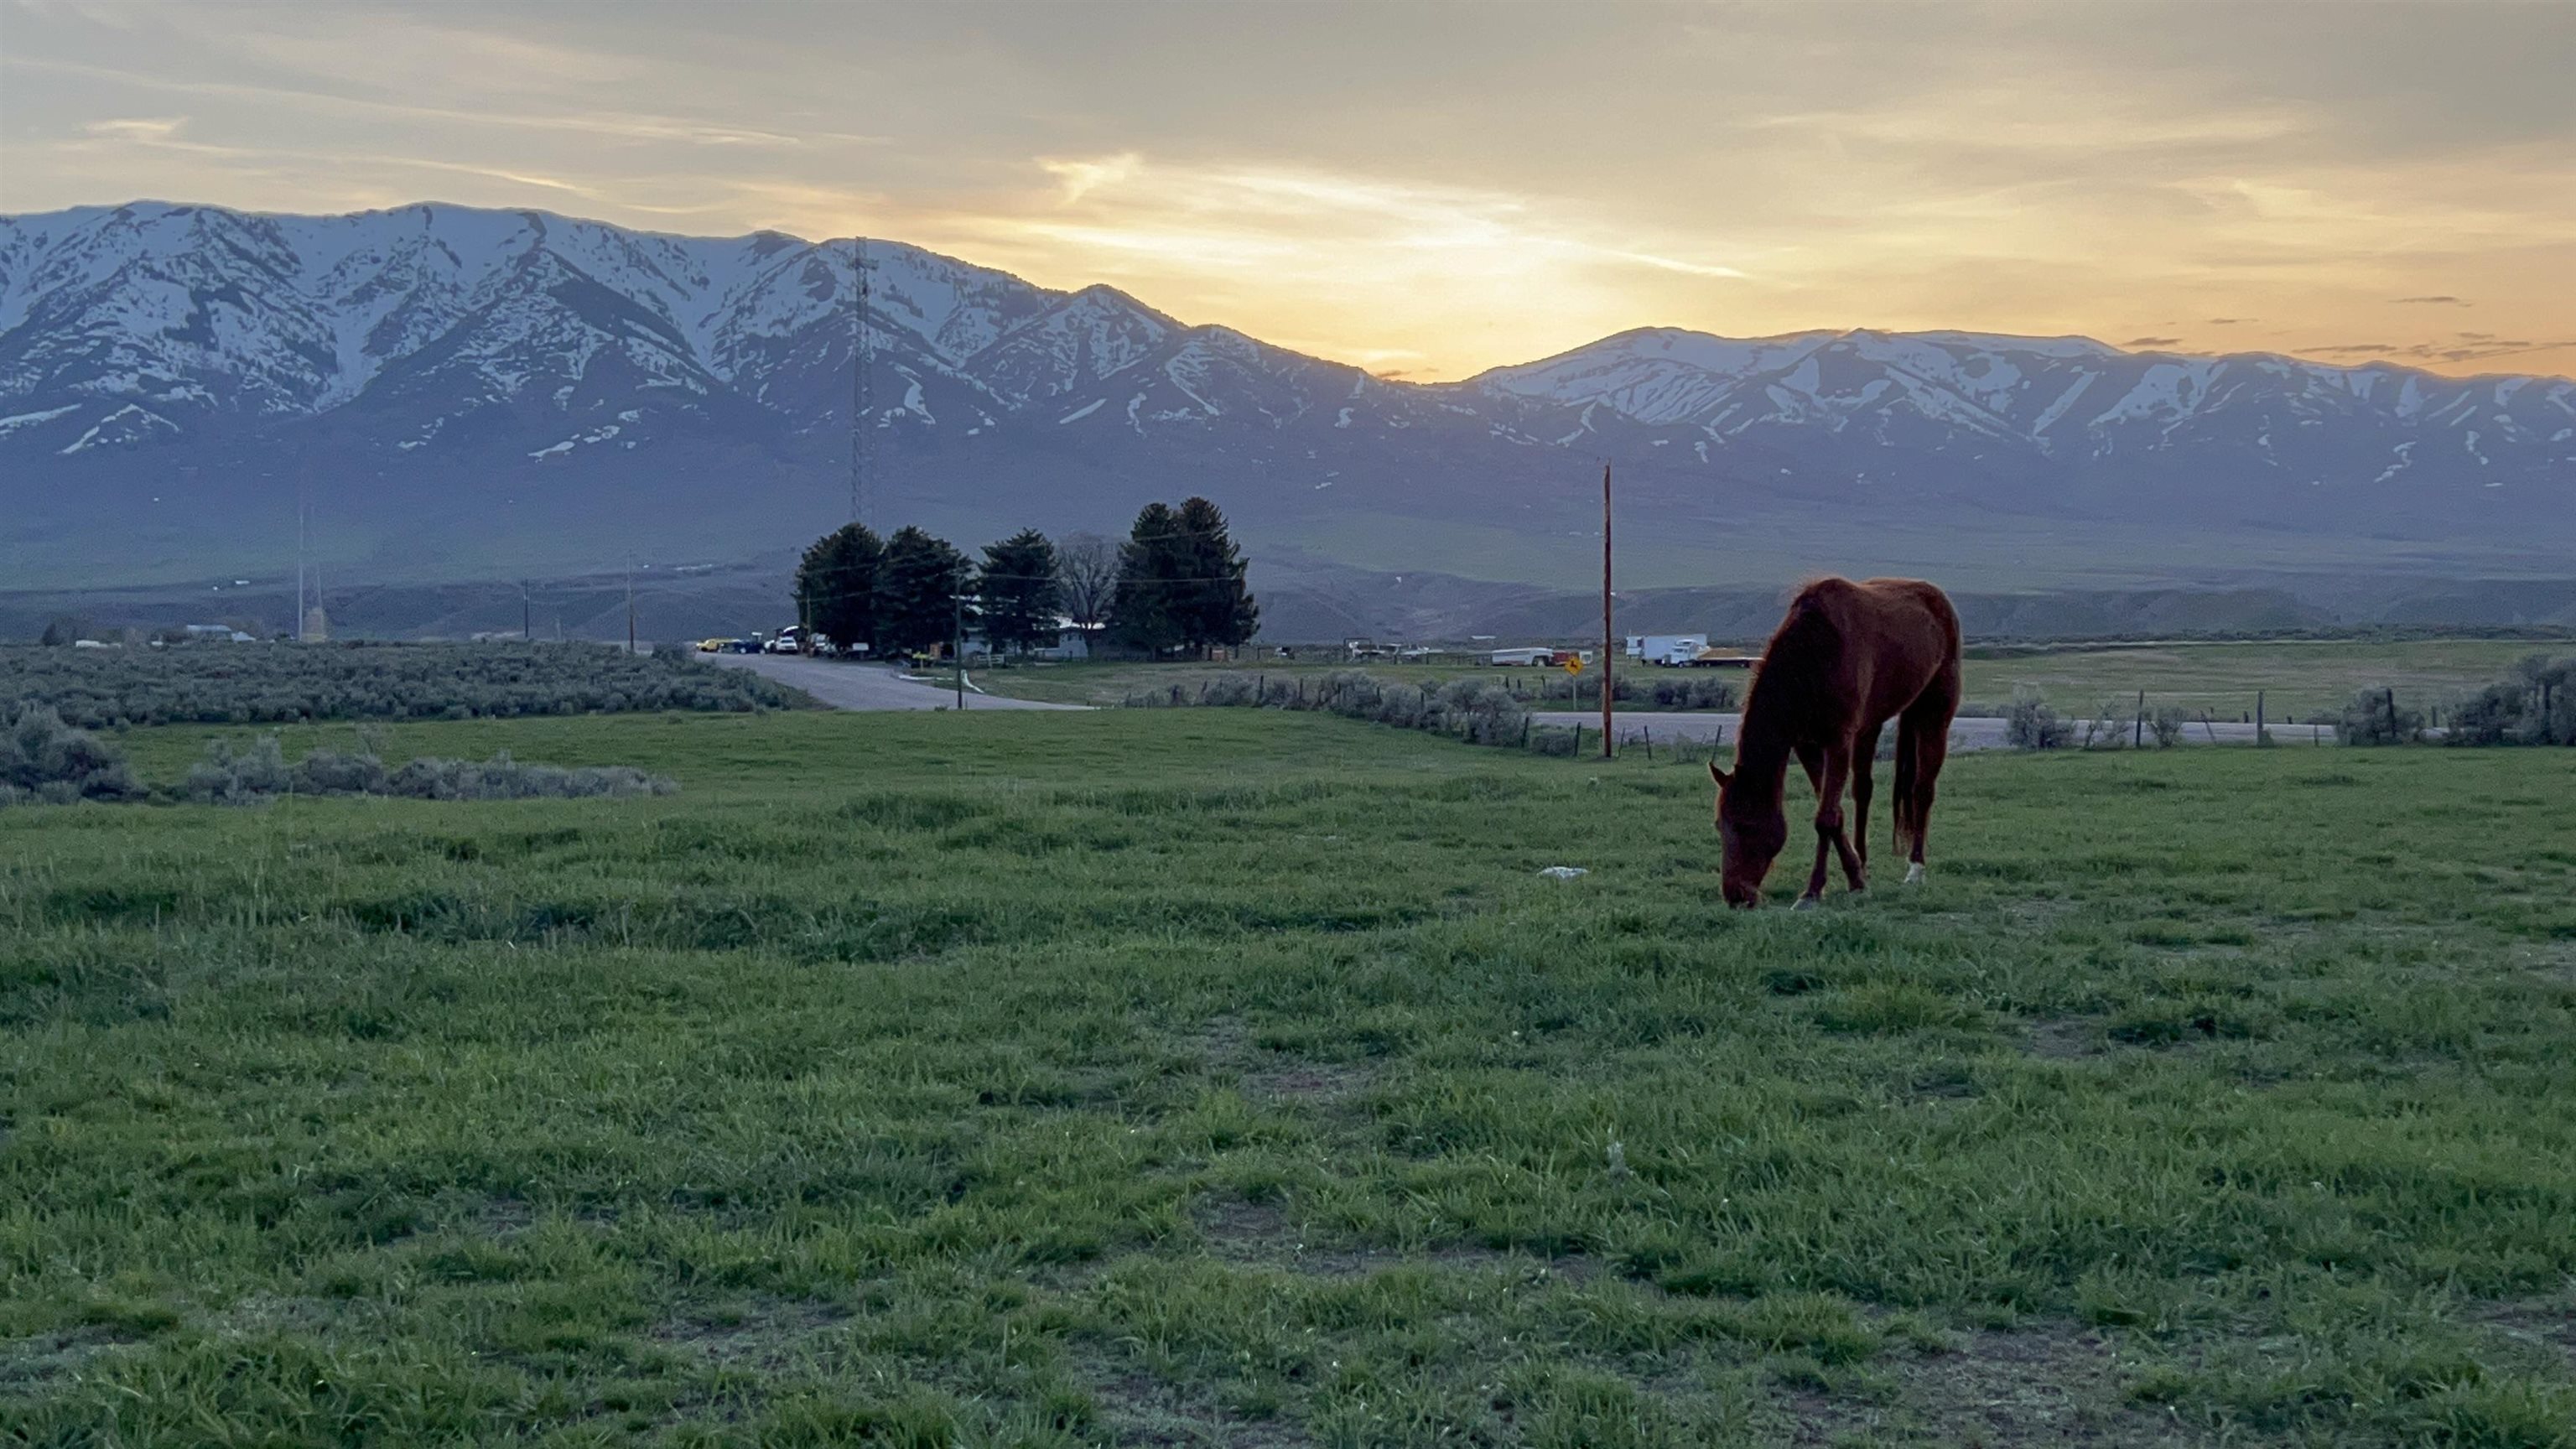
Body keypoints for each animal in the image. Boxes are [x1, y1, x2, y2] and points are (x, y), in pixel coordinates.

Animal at [1710, 574, 1947, 902]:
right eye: (1719, 825)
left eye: (1746, 825)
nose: (1735, 896)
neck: (1813, 655)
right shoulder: (1807, 745)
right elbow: (1837, 814)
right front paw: (1857, 880)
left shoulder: (1837, 741)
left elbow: (1825, 818)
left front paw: (1811, 892)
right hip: (1869, 727)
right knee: (1864, 790)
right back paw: (1864, 861)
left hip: (1934, 711)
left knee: (1922, 790)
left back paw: (1916, 869)